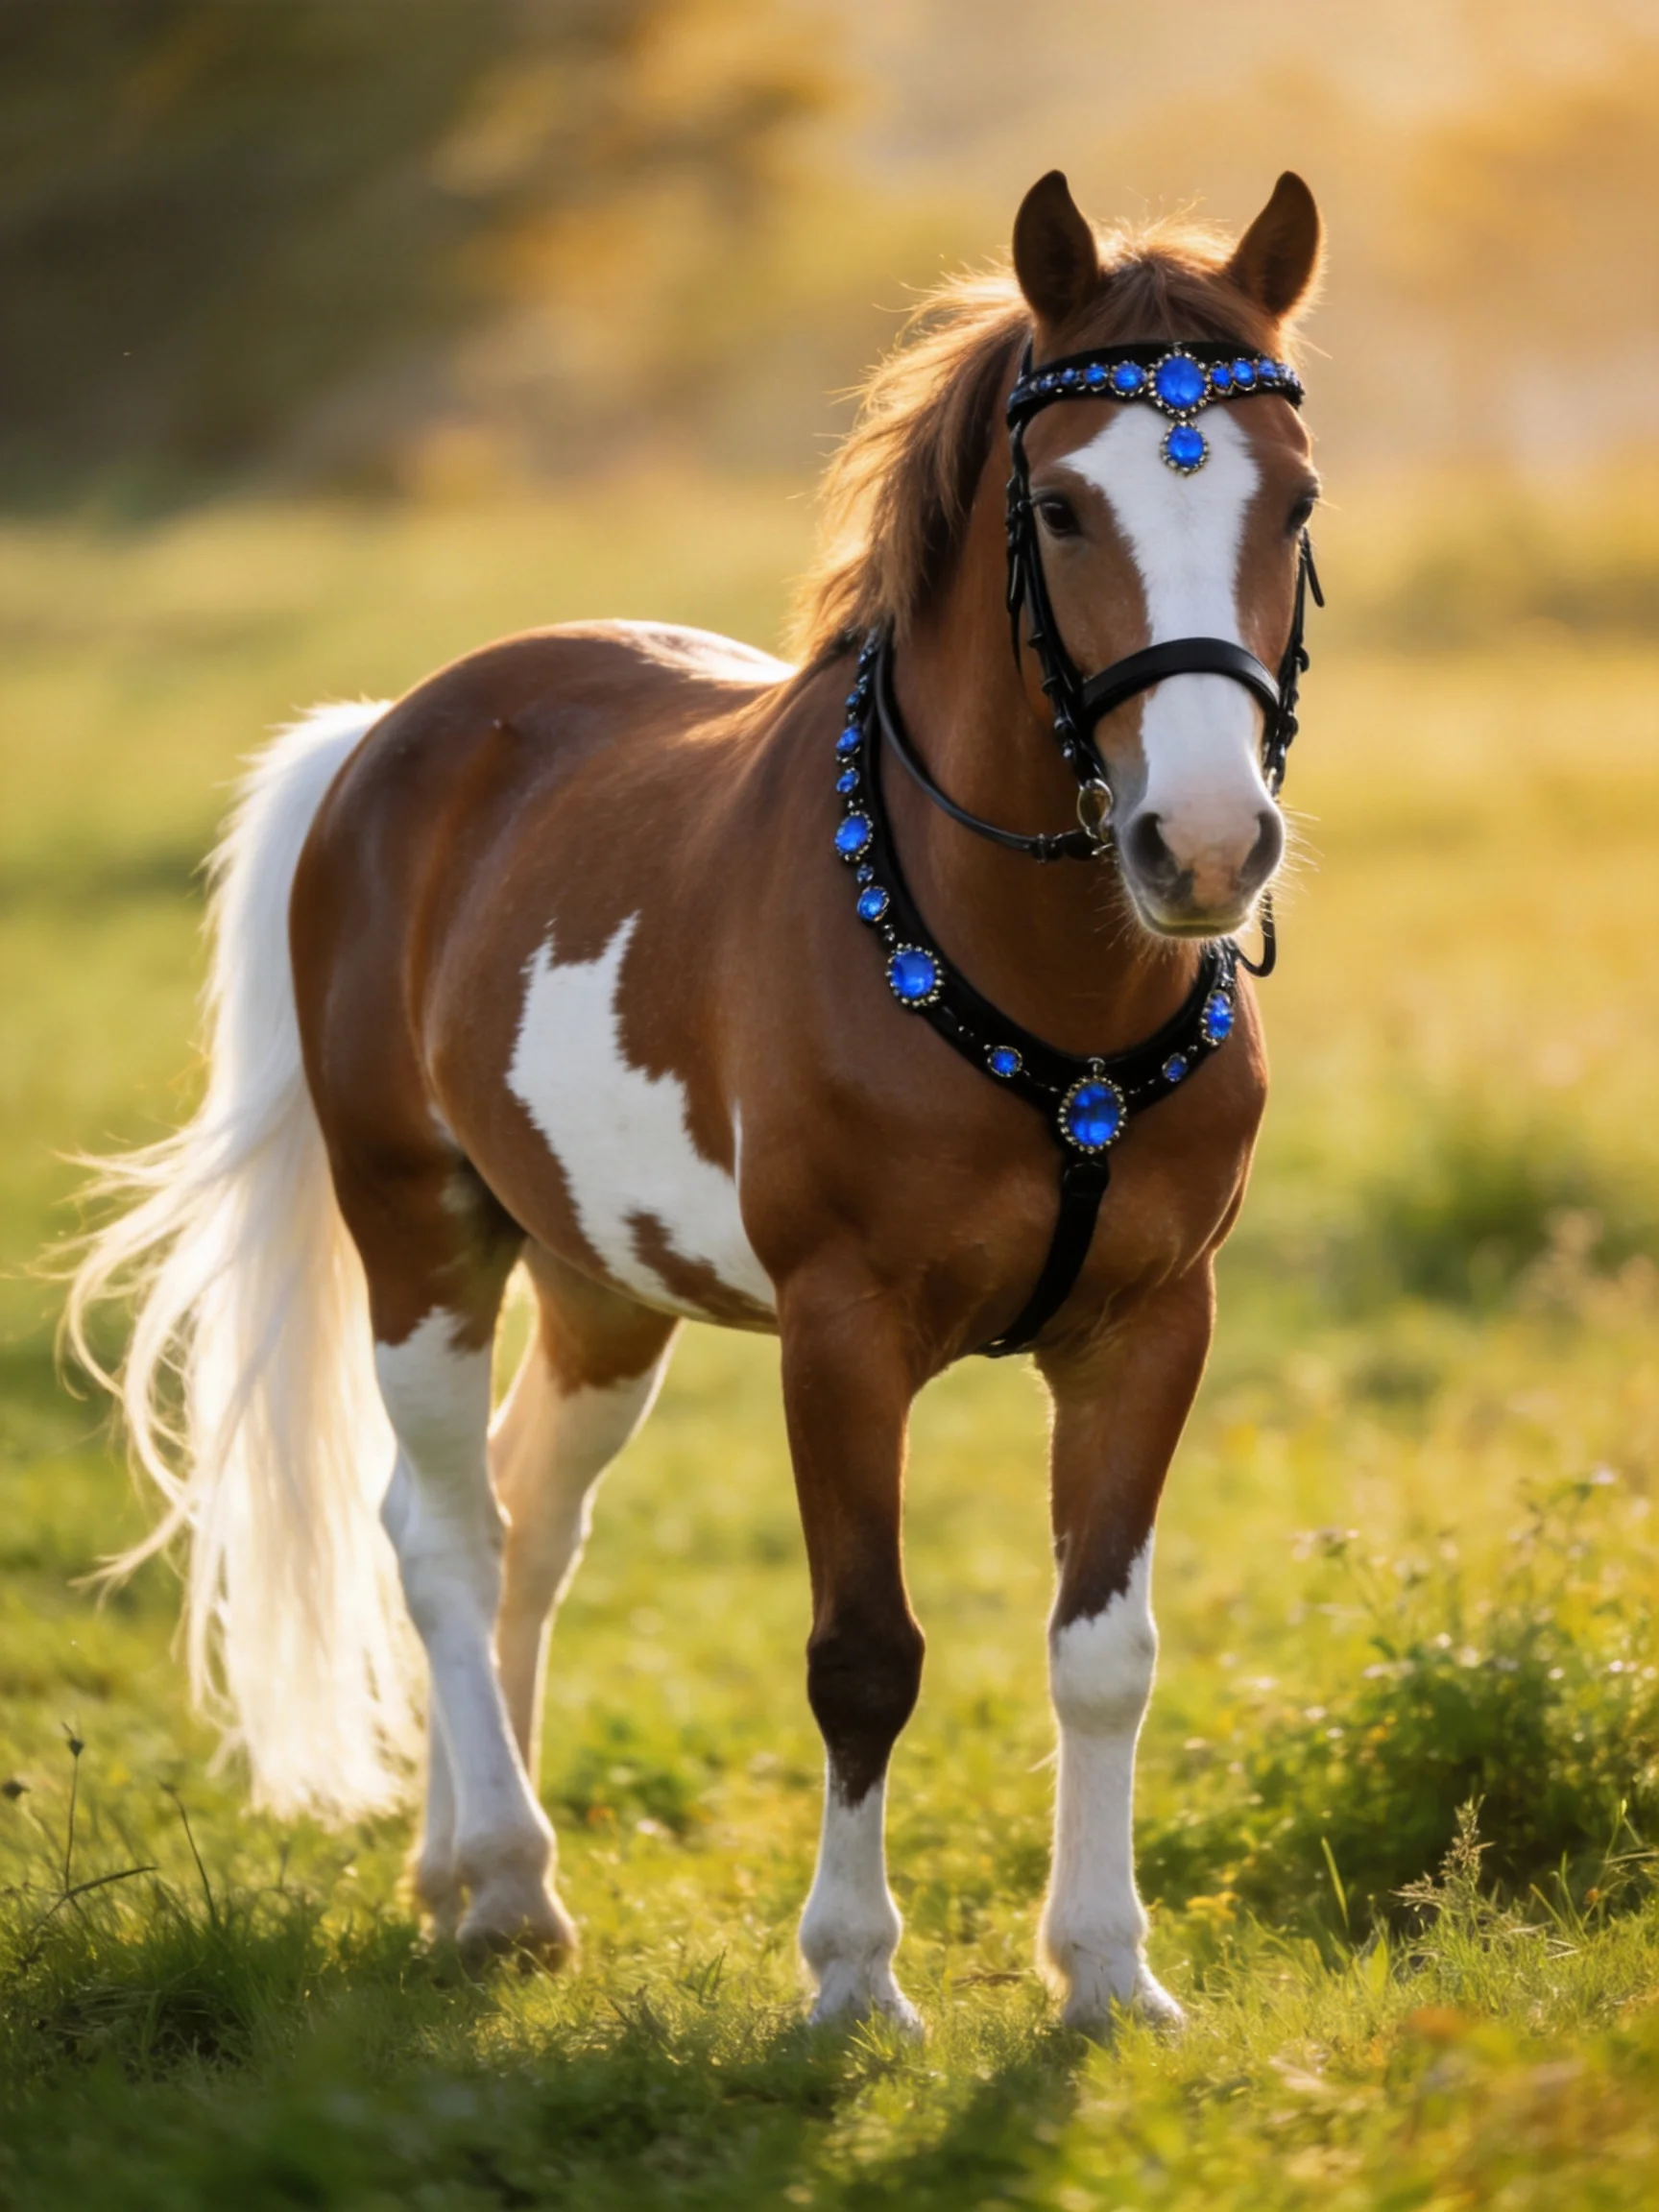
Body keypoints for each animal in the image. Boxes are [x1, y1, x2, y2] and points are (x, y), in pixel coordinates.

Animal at [71, 168, 1323, 2034]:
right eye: (1060, 505)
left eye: (1294, 499)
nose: (1208, 845)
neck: (1041, 988)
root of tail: (387, 736)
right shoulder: (839, 1330)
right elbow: (863, 1652)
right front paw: (852, 1978)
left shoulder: (1151, 1324)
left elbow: (1103, 1653)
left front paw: (1106, 1972)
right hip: (419, 1237)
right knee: (439, 1533)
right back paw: (510, 1881)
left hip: (601, 1287)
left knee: (523, 1520)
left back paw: (459, 1865)